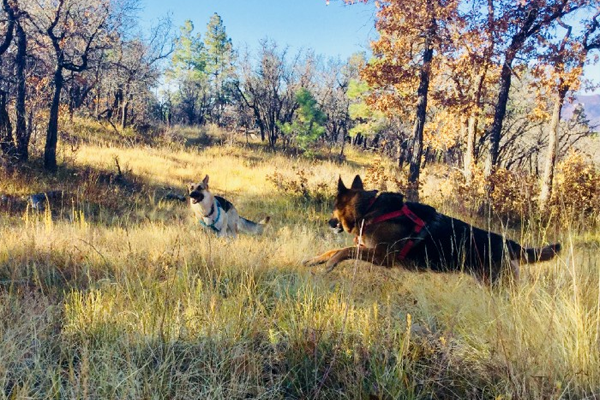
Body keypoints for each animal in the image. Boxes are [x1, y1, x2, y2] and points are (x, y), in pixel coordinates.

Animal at [304, 175, 564, 284]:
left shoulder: (383, 257)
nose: (328, 222)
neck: (369, 209)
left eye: (333, 209)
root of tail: (509, 243)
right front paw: (315, 260)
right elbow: (335, 250)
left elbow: (346, 250)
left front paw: (330, 264)